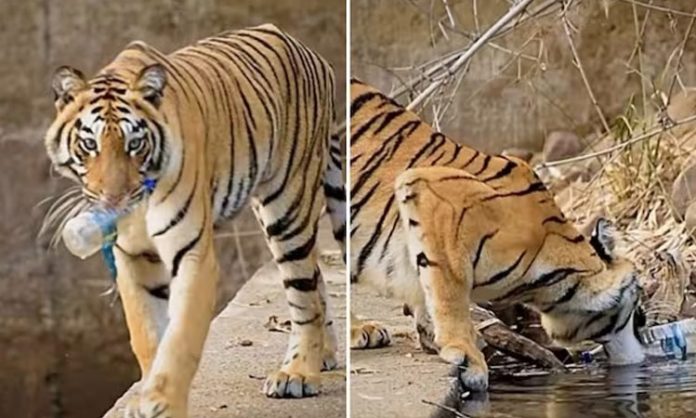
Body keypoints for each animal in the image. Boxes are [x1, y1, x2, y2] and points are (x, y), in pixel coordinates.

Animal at [42, 23, 346, 418]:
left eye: (134, 144)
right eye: (89, 144)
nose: (114, 200)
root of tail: (308, 50)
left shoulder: (192, 254)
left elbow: (180, 337)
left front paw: (163, 403)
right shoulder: (133, 258)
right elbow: (147, 335)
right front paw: (144, 397)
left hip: (288, 207)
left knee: (303, 293)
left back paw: (298, 372)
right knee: (315, 275)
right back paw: (324, 354)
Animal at [350, 79, 644, 392]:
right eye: (638, 314)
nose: (645, 354)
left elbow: (426, 285)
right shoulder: (430, 195)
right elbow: (449, 290)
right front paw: (467, 356)